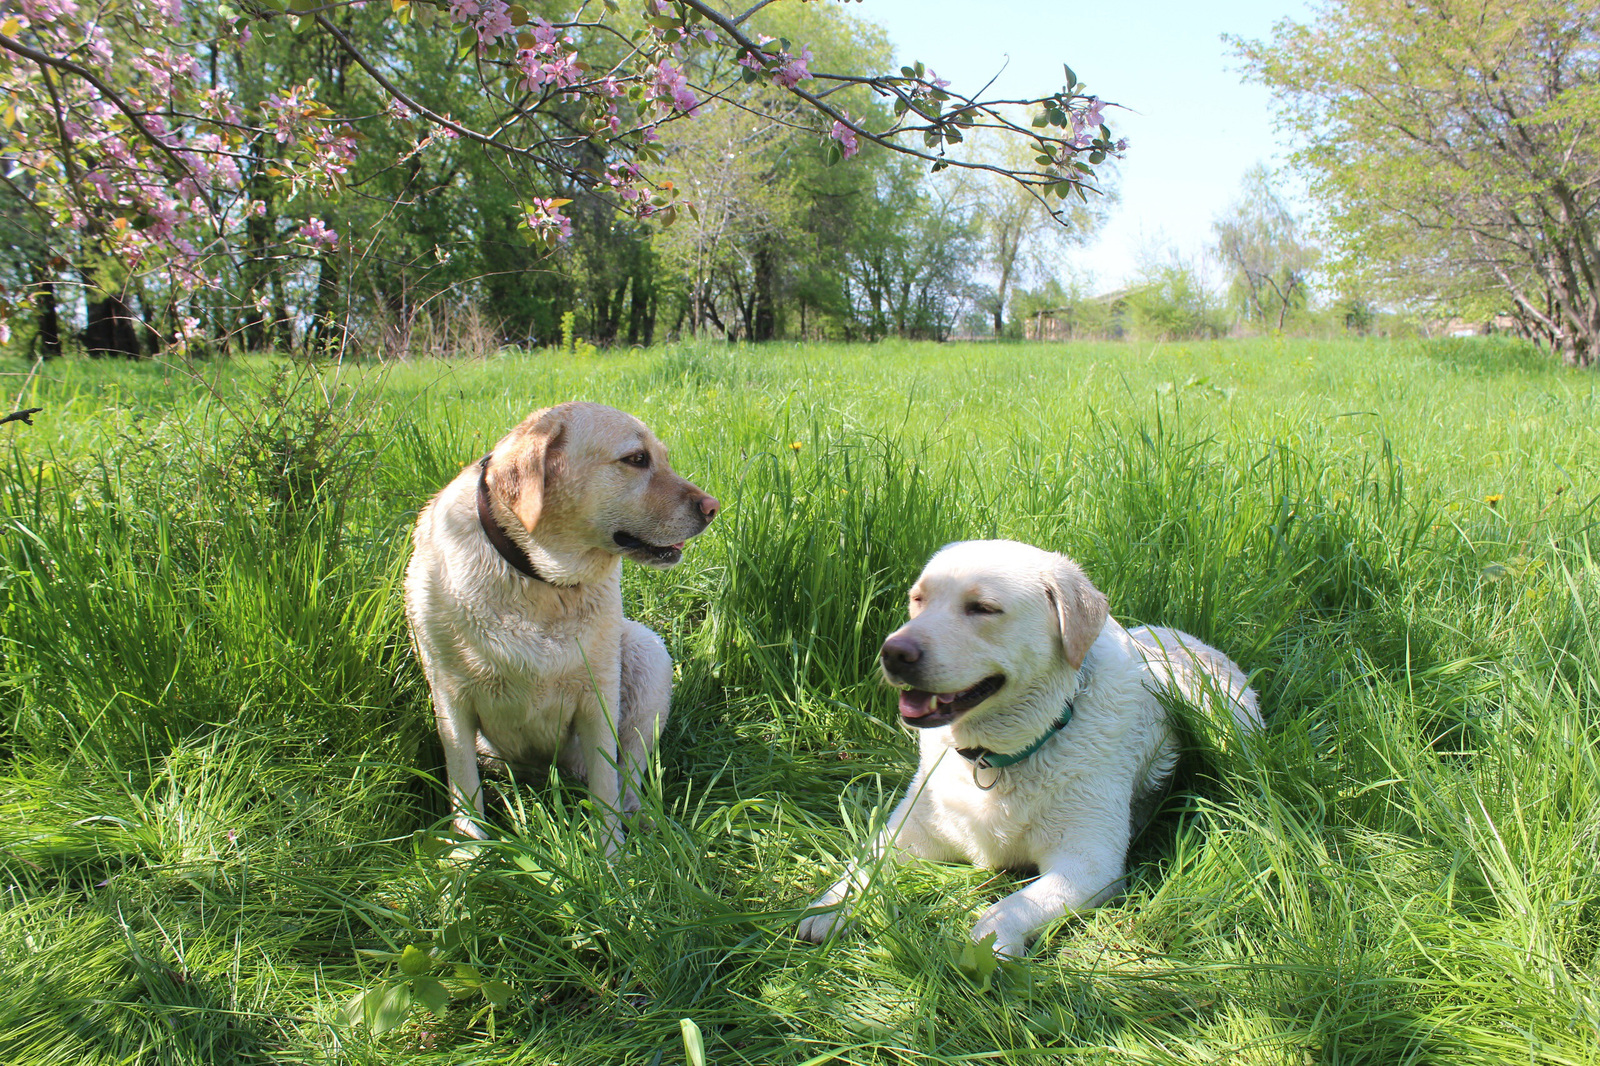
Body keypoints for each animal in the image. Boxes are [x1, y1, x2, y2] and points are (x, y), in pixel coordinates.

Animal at [406, 400, 720, 845]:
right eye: (636, 459)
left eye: (661, 458)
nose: (713, 508)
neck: (539, 579)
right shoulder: (450, 699)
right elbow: (465, 787)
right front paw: (468, 855)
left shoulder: (598, 696)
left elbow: (606, 785)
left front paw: (610, 853)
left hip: (647, 653)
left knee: (628, 776)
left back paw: (642, 821)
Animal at [793, 541, 1254, 953]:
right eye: (918, 599)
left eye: (983, 608)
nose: (893, 653)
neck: (993, 759)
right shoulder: (908, 830)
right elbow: (862, 866)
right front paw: (832, 907)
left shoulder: (1089, 863)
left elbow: (1007, 910)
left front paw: (991, 944)